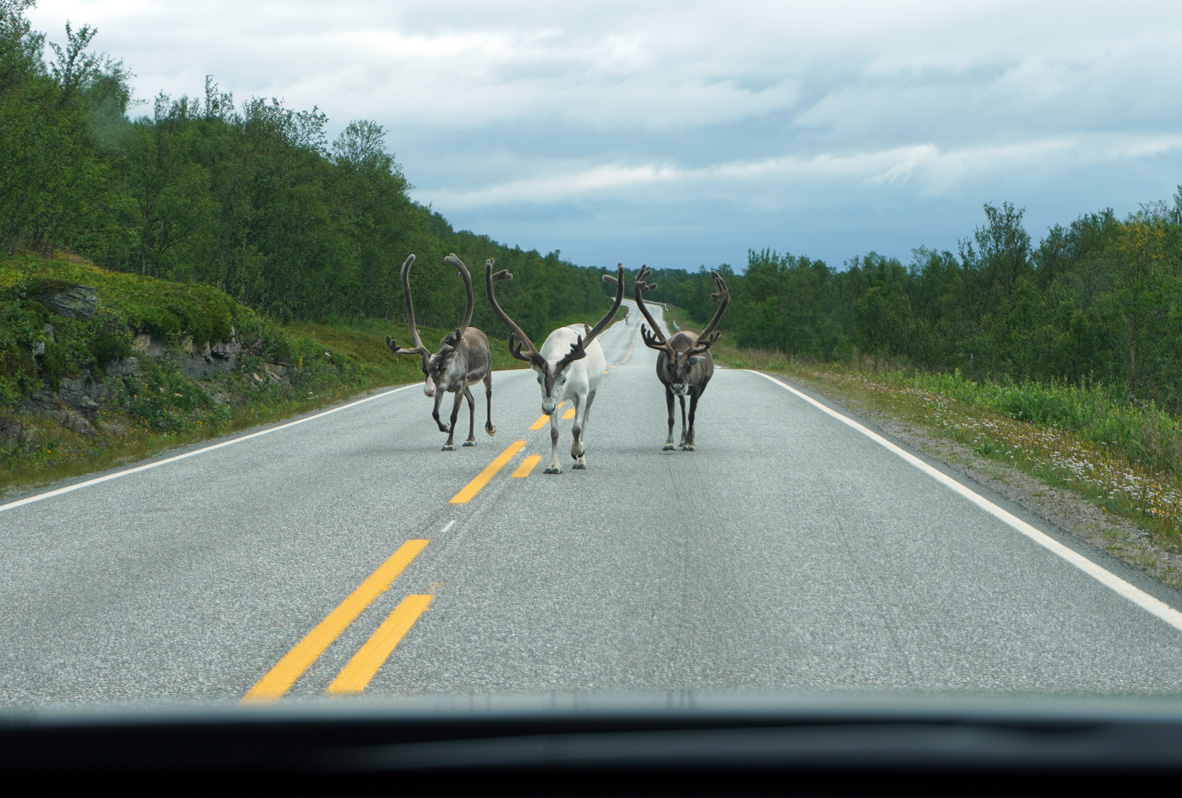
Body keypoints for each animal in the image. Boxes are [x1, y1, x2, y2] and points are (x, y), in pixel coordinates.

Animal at [386, 253, 496, 451]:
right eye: (424, 369)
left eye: (442, 367)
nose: (428, 390)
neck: (449, 376)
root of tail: (481, 333)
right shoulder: (443, 388)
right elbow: (435, 414)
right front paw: (444, 427)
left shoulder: (459, 385)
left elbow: (454, 415)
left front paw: (449, 443)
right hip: (467, 385)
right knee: (472, 402)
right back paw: (470, 438)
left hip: (487, 371)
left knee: (488, 394)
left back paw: (489, 427)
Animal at [485, 259, 625, 474]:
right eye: (538, 378)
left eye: (564, 378)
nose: (548, 408)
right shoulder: (552, 399)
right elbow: (554, 432)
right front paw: (553, 465)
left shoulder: (581, 393)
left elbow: (576, 428)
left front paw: (577, 451)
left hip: (592, 391)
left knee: (585, 422)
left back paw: (581, 459)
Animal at [633, 265, 730, 451]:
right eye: (669, 366)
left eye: (688, 367)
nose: (678, 384)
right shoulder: (667, 387)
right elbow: (671, 416)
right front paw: (669, 442)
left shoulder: (697, 387)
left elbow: (693, 415)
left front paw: (690, 443)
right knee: (683, 405)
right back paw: (683, 438)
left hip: (700, 387)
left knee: (691, 409)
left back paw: (689, 438)